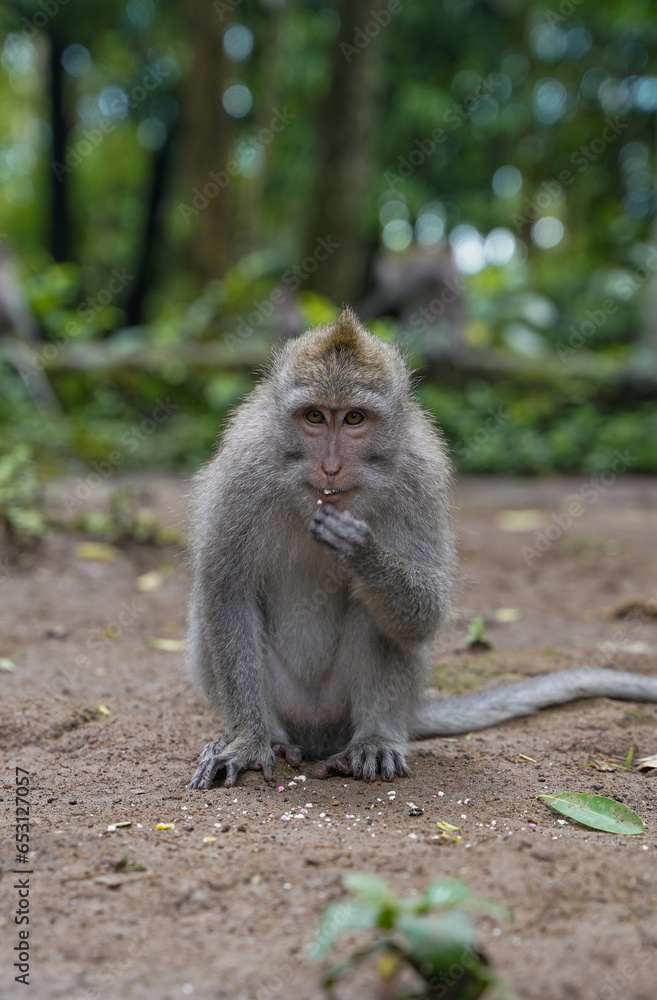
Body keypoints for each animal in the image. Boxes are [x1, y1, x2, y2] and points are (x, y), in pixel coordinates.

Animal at [187, 308, 656, 792]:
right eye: (315, 416)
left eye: (354, 419)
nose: (331, 467)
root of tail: (317, 737)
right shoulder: (246, 469)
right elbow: (228, 591)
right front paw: (248, 739)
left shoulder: (418, 477)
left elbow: (426, 610)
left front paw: (363, 554)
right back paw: (273, 741)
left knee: (374, 613)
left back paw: (373, 740)